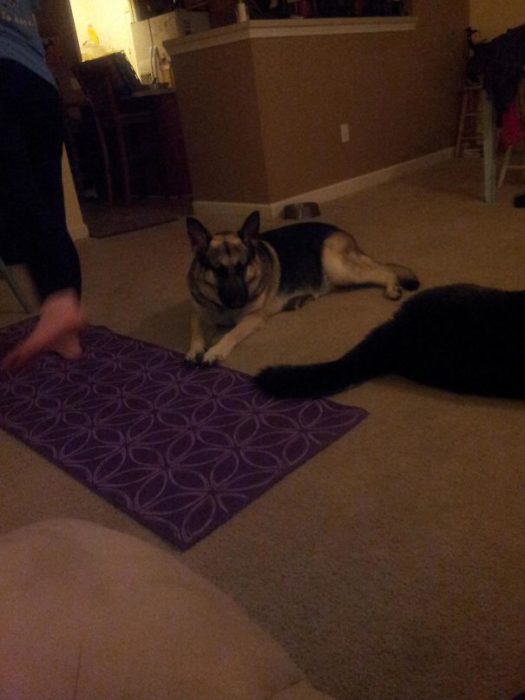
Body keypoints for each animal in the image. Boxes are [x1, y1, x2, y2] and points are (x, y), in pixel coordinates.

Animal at [184, 212, 418, 366]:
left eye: (243, 267)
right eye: (219, 270)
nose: (239, 301)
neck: (222, 308)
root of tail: (342, 232)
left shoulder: (252, 319)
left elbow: (231, 333)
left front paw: (216, 350)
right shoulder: (198, 313)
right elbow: (195, 331)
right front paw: (194, 349)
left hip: (338, 268)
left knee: (385, 271)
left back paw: (392, 288)